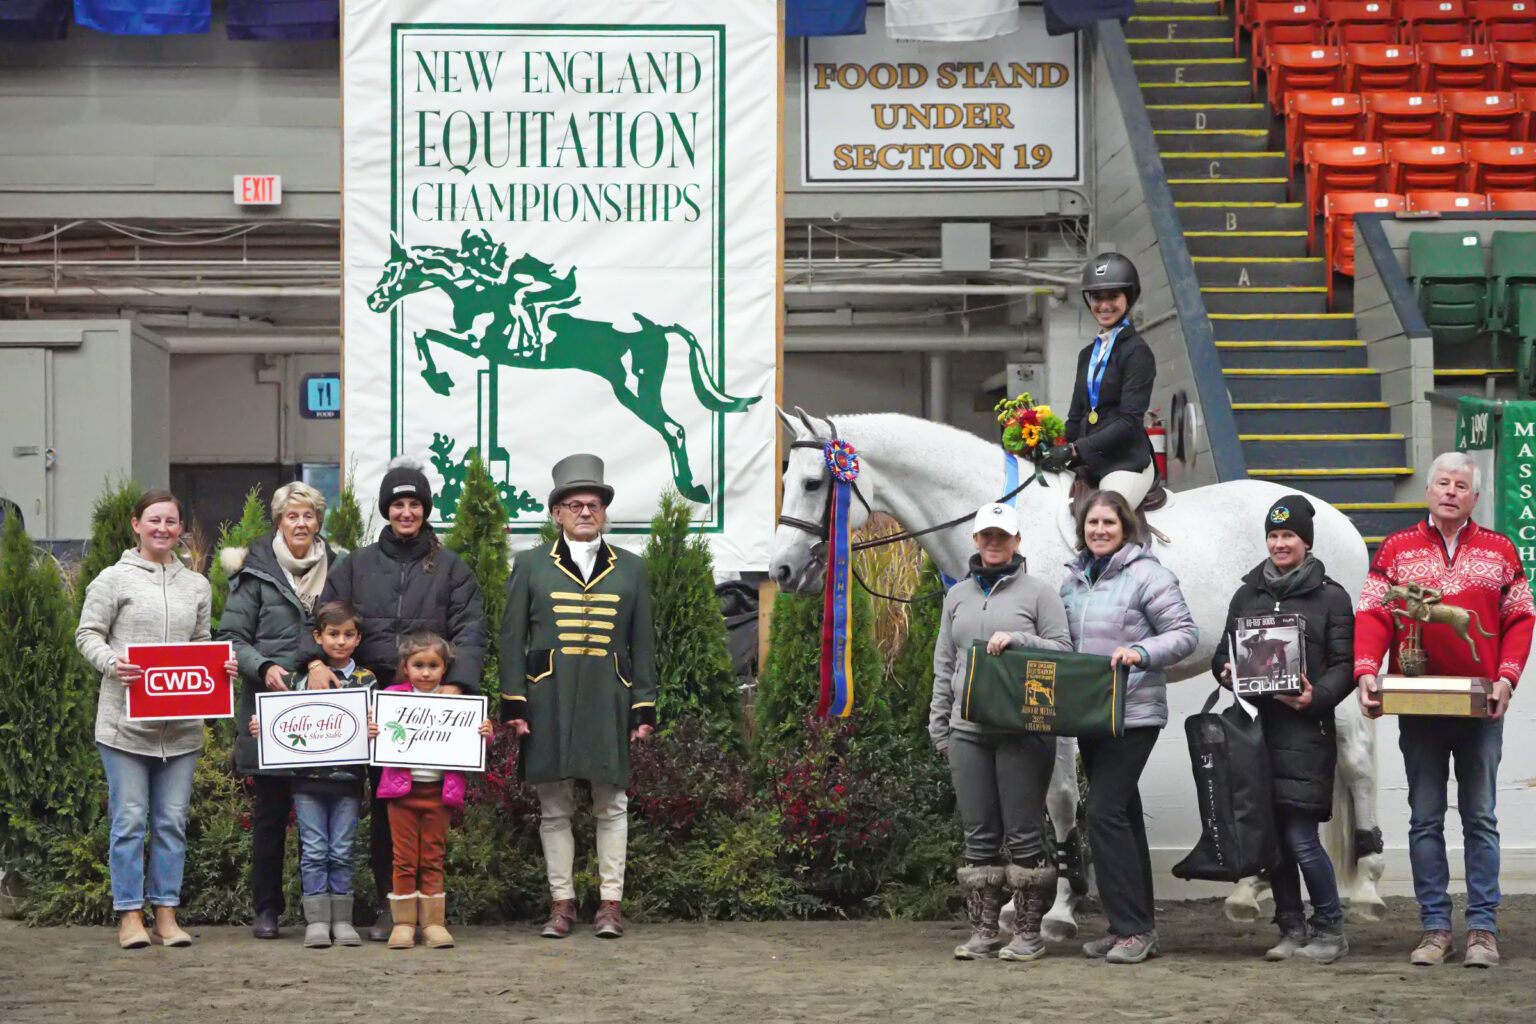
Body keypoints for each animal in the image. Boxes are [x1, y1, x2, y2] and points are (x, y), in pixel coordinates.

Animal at [774, 411, 1388, 939]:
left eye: (813, 482)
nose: (782, 570)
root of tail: (1338, 519)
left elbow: (1062, 796)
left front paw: (1060, 909)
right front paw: (1013, 907)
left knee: (1357, 758)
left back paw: (1366, 888)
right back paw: (1250, 889)